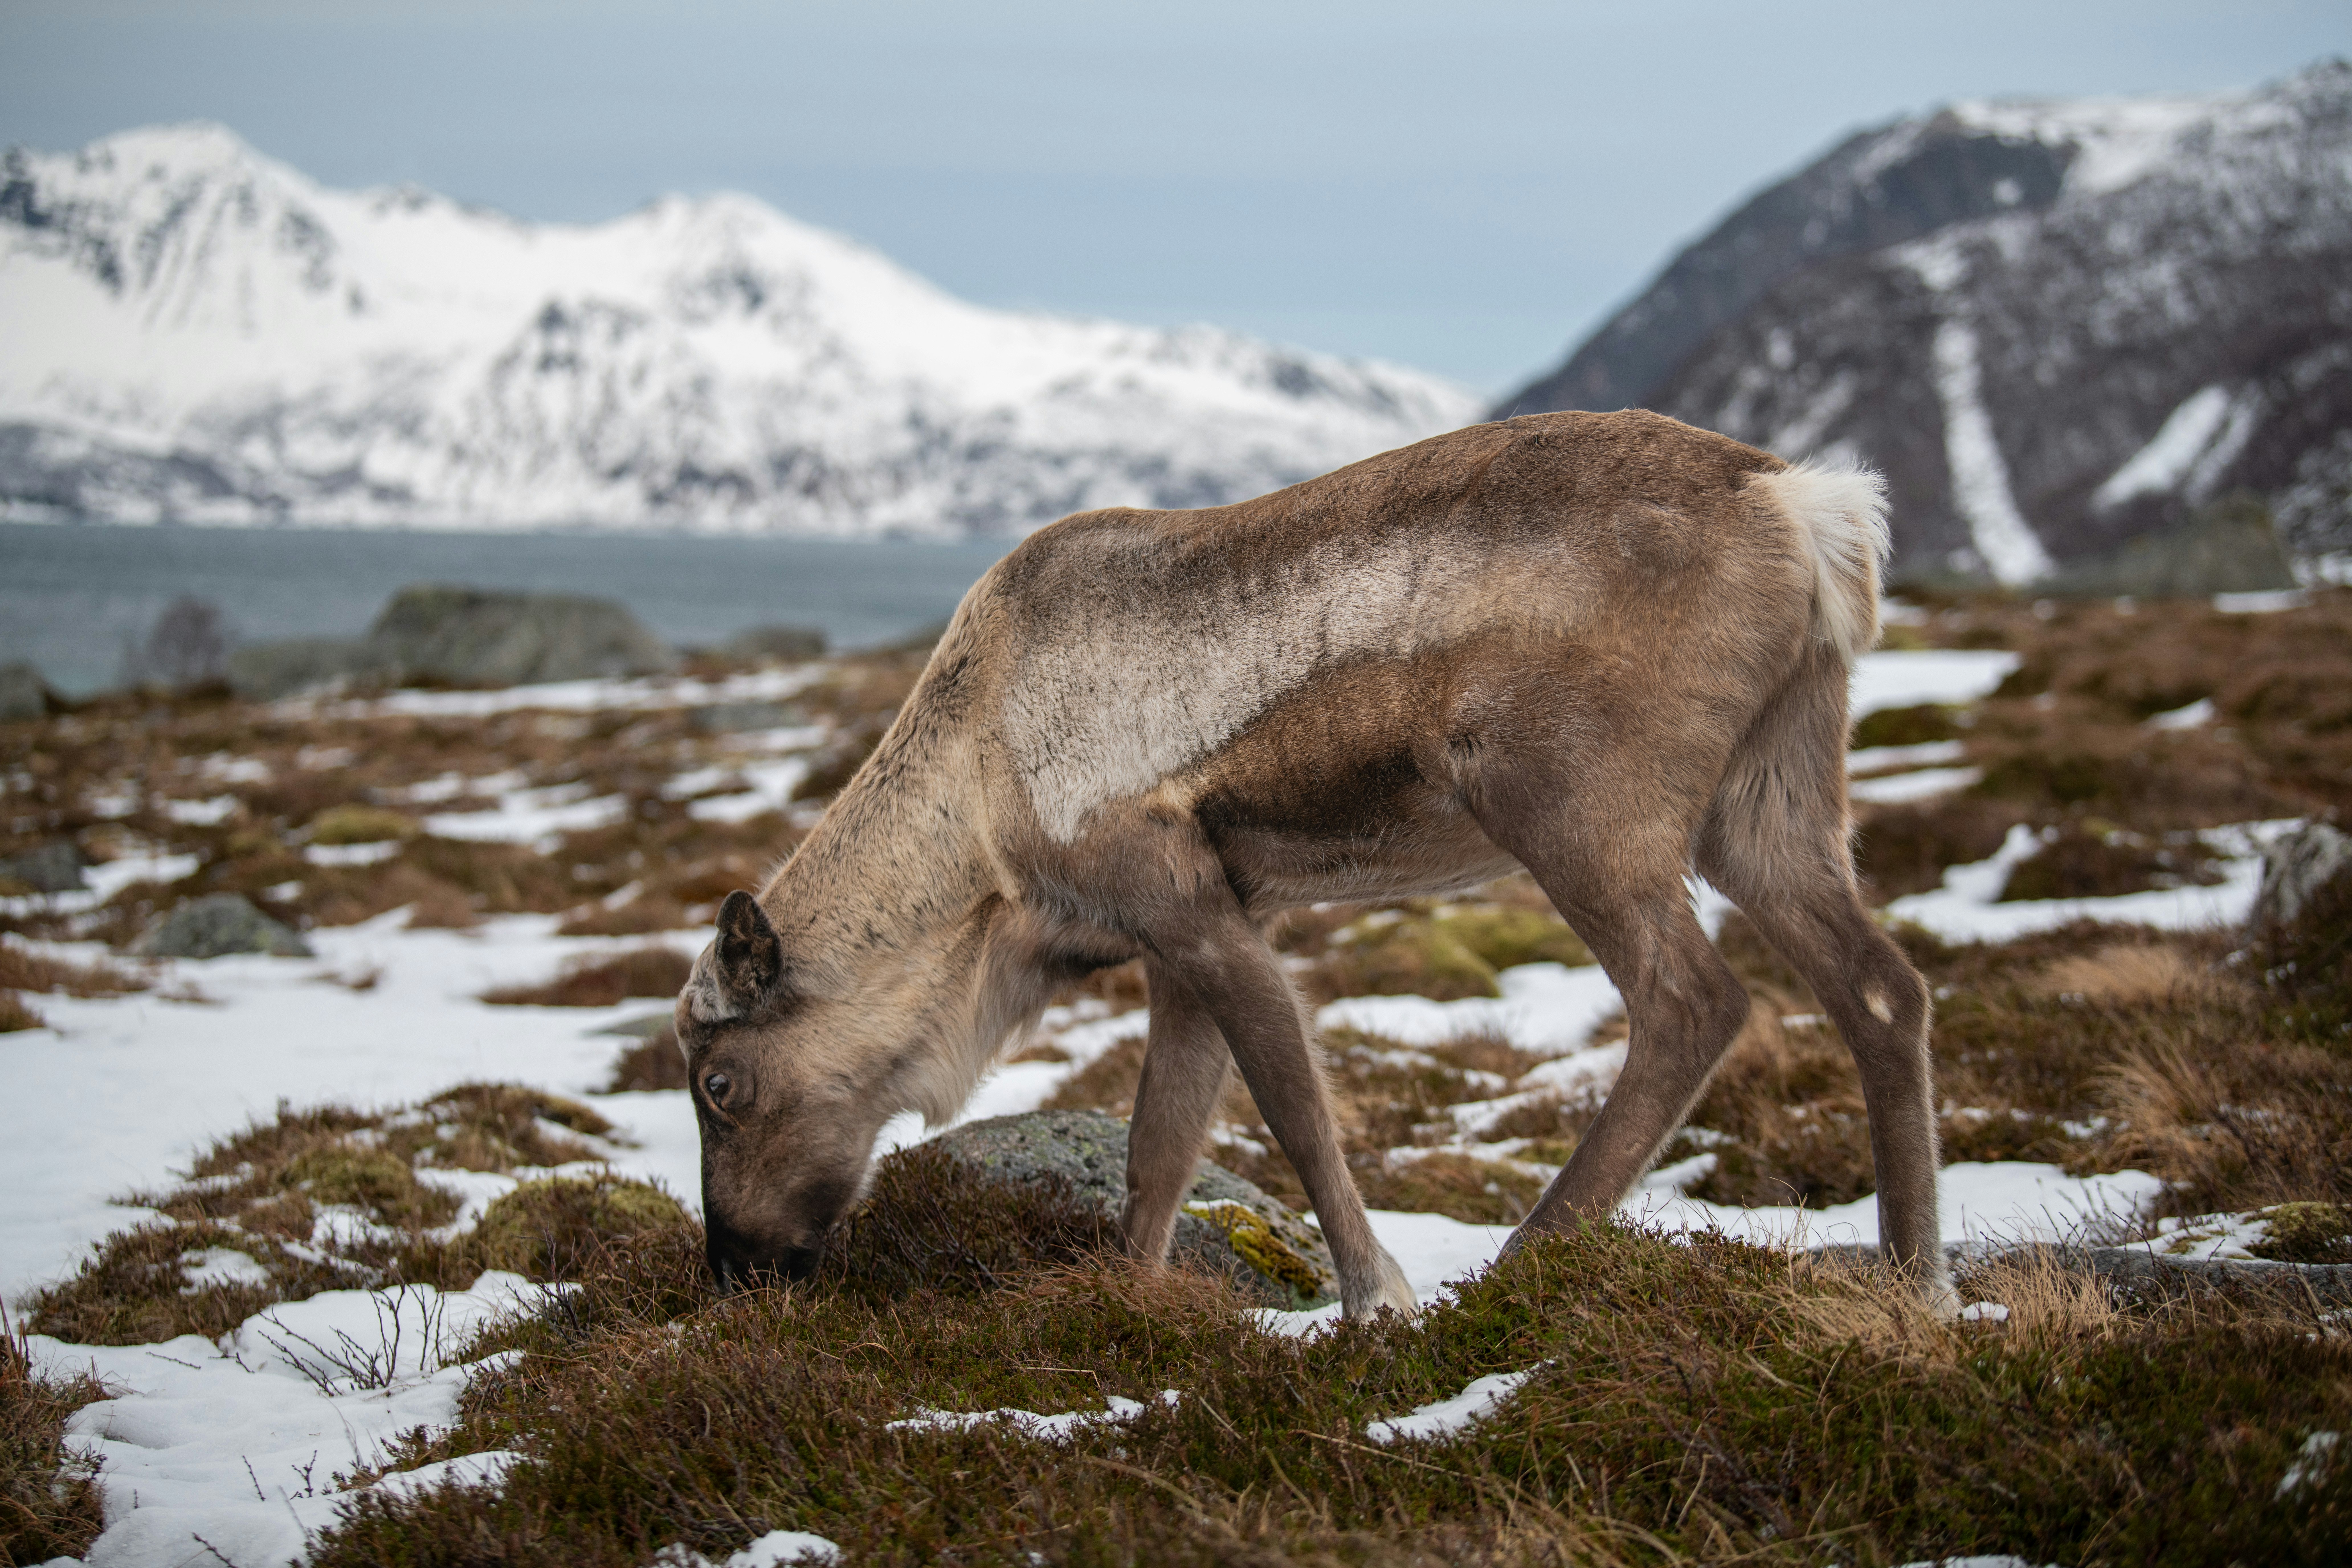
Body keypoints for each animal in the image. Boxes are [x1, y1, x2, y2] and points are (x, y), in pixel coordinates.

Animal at [675, 408, 1949, 1319]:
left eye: (720, 1083)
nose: (734, 1268)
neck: (976, 826)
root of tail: (1804, 504)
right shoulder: (1185, 937)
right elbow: (1160, 1142)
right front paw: (1128, 1294)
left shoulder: (1189, 905)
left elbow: (1286, 1105)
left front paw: (1375, 1299)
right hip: (1769, 801)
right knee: (1884, 988)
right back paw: (1915, 1283)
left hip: (1577, 807)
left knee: (1693, 1002)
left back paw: (1523, 1261)